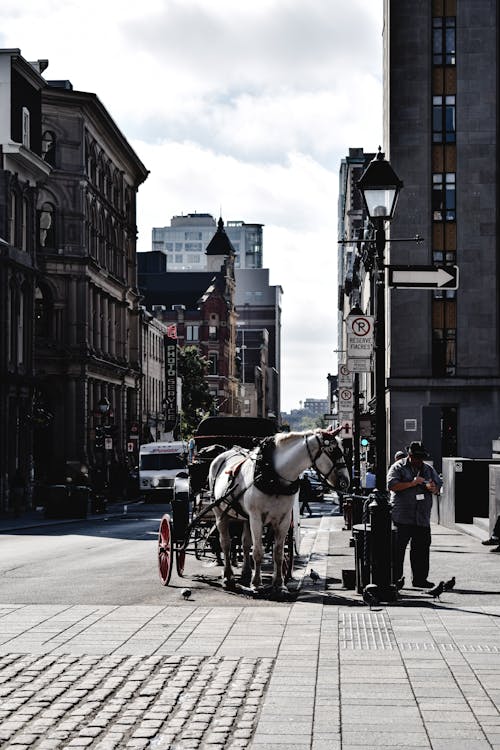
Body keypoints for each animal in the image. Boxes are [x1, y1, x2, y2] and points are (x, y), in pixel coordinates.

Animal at [206, 432, 348, 596]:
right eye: (332, 450)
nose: (345, 482)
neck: (273, 476)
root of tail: (224, 454)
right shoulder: (256, 518)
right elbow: (258, 551)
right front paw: (257, 584)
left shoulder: (284, 519)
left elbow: (278, 553)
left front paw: (279, 585)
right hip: (220, 513)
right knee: (226, 544)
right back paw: (228, 577)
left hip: (246, 518)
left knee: (245, 543)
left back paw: (246, 574)